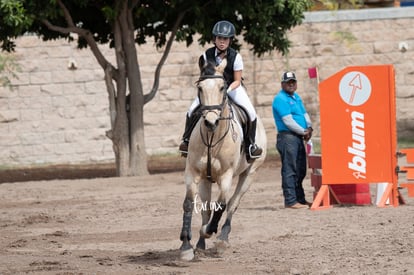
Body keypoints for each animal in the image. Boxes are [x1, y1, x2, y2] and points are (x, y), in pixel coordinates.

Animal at [180, 57, 266, 260]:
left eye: (222, 87)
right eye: (200, 87)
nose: (210, 122)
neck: (212, 139)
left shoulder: (226, 176)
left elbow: (222, 204)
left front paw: (209, 231)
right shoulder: (194, 173)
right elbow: (189, 204)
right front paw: (186, 246)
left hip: (250, 173)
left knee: (233, 204)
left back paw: (222, 239)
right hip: (206, 180)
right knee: (206, 208)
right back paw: (200, 244)